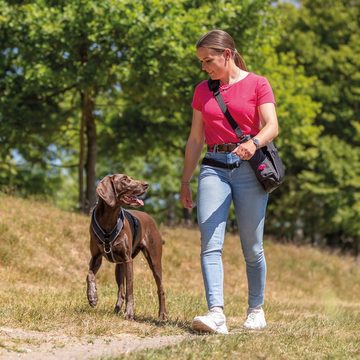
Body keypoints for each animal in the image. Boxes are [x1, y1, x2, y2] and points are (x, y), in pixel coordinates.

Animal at [86, 173, 167, 320]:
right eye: (124, 179)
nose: (146, 184)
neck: (109, 218)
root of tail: (151, 219)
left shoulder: (128, 260)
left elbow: (130, 288)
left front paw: (129, 312)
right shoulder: (95, 257)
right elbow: (89, 275)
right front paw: (92, 296)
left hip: (154, 261)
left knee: (161, 289)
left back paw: (162, 314)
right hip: (119, 266)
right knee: (120, 290)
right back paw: (116, 309)